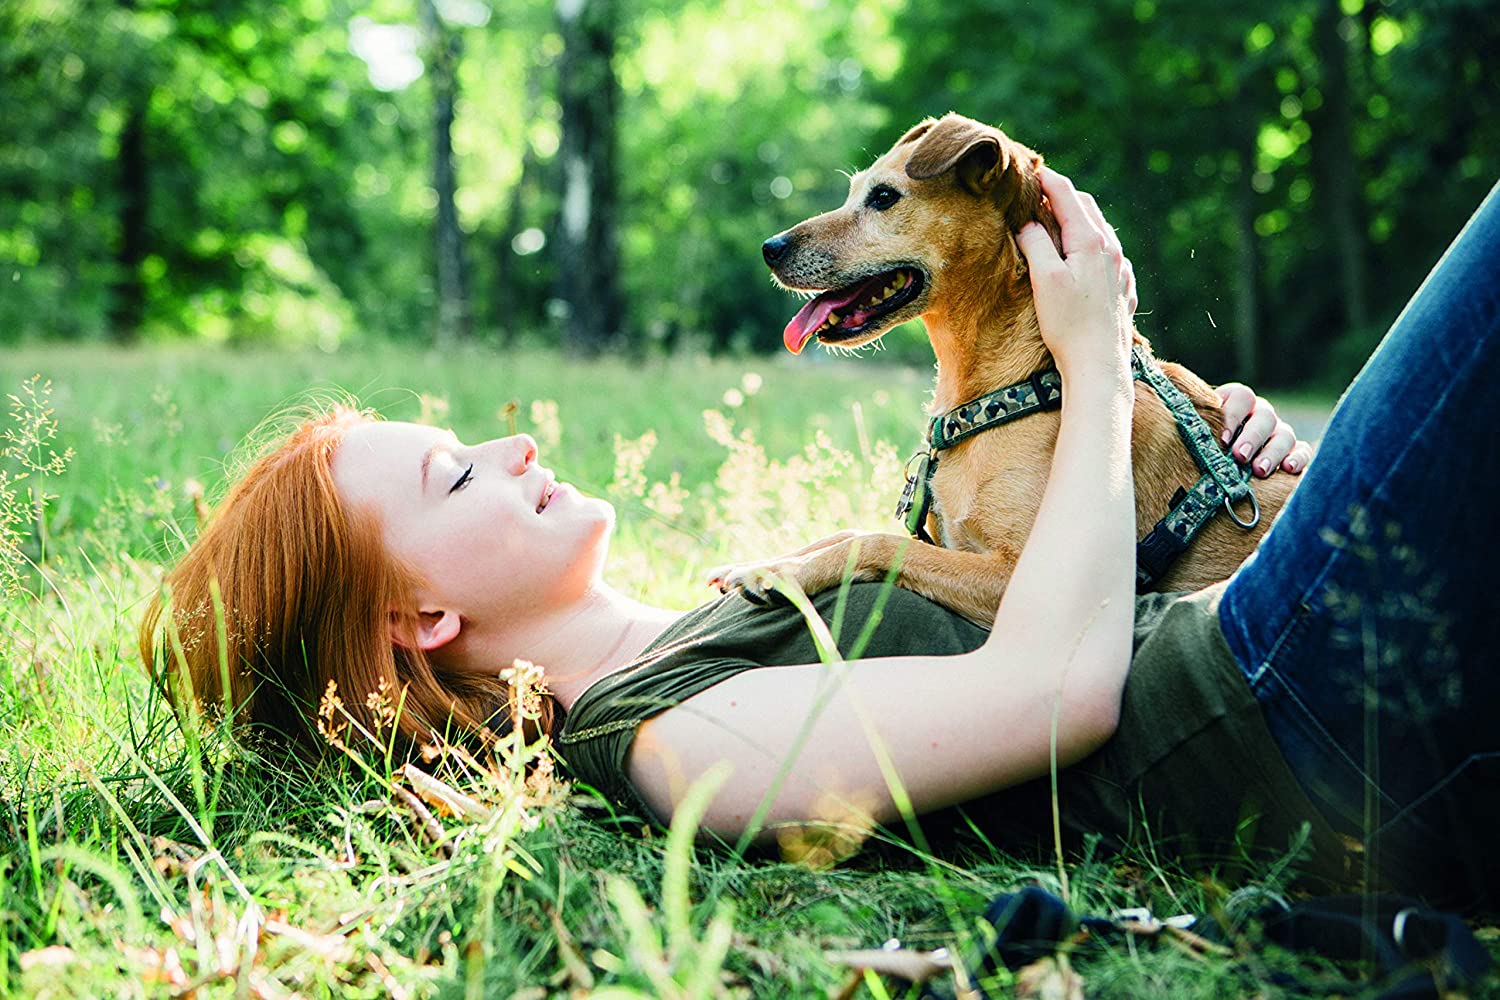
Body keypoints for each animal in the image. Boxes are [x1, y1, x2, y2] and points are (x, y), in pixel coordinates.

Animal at [708, 115, 1296, 626]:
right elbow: (848, 530)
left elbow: (875, 542)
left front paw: (782, 574)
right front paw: (764, 561)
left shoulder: (1020, 580)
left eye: (884, 197)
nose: (770, 248)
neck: (1020, 381)